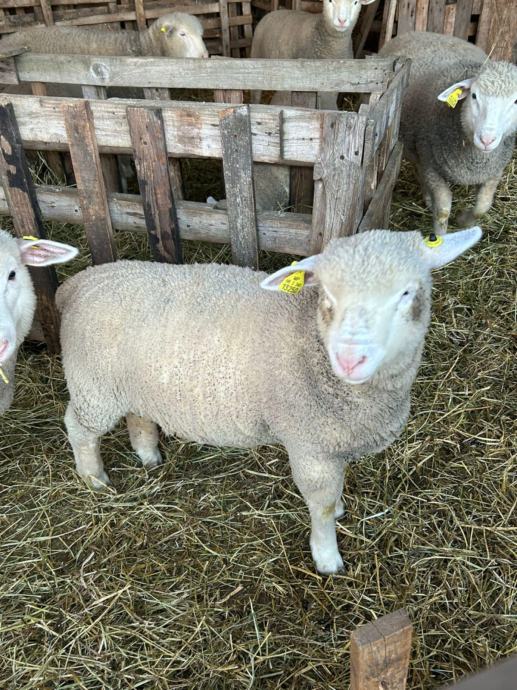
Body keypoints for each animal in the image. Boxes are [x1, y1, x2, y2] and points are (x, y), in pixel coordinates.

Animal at [57, 226, 481, 574]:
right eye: (327, 296)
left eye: (407, 292)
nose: (350, 358)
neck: (309, 335)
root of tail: (77, 283)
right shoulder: (310, 445)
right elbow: (321, 504)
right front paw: (327, 557)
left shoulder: (334, 441)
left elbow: (336, 493)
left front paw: (341, 510)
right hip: (93, 388)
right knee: (78, 427)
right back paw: (94, 479)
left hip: (129, 385)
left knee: (138, 416)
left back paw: (149, 456)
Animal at [380, 31, 517, 233]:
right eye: (474, 96)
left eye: (515, 102)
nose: (486, 139)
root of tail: (416, 32)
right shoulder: (432, 167)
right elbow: (443, 211)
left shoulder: (494, 172)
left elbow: (483, 206)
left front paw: (464, 221)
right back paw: (429, 200)